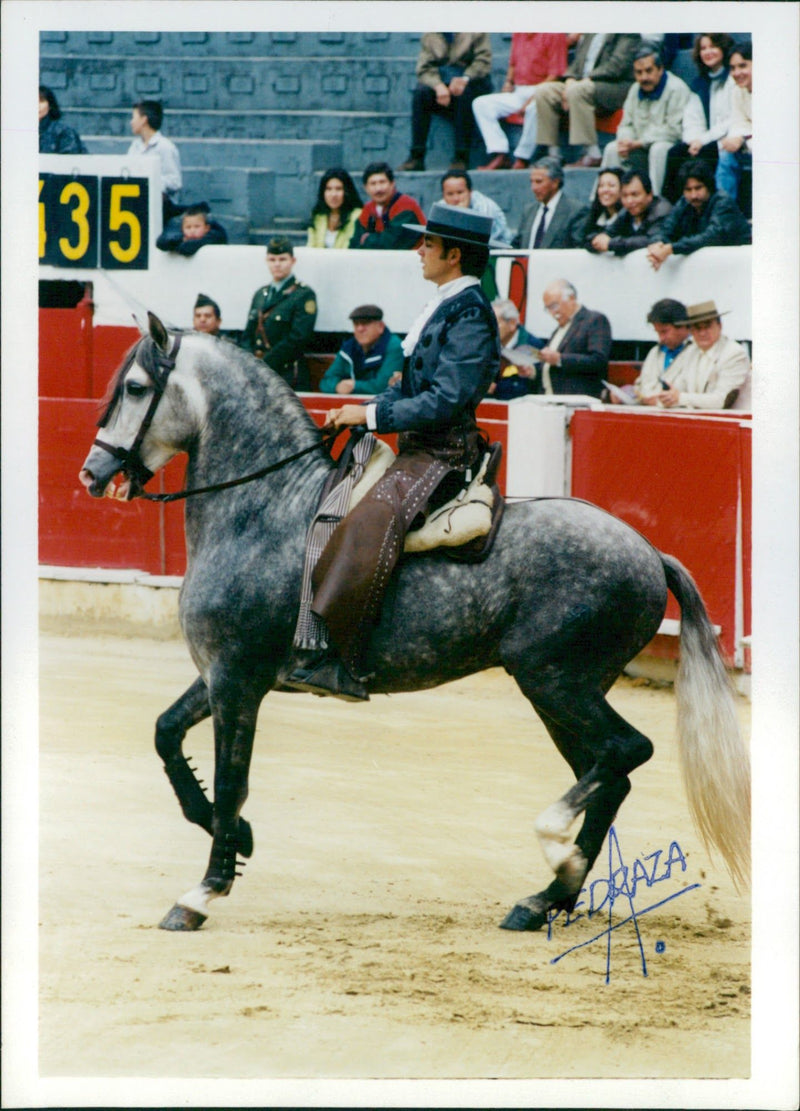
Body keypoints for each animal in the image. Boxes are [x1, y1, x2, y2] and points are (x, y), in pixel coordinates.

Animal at [78, 317, 746, 933]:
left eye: (135, 387)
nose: (90, 474)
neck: (263, 509)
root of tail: (649, 552)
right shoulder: (222, 673)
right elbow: (168, 735)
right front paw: (239, 839)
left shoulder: (238, 679)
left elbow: (230, 779)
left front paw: (202, 892)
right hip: (562, 692)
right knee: (610, 773)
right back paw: (546, 898)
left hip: (555, 680)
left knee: (625, 751)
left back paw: (553, 854)